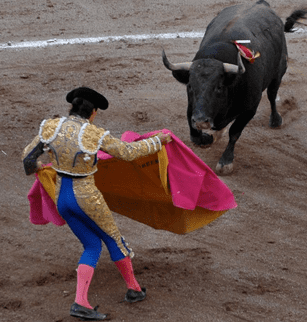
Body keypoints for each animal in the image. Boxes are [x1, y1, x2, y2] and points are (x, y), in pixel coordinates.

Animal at [162, 0, 306, 175]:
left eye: (218, 87)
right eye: (190, 86)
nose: (201, 121)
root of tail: (262, 4)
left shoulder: (250, 109)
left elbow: (235, 132)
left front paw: (226, 162)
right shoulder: (192, 108)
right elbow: (195, 136)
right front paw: (208, 138)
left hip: (279, 72)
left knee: (272, 95)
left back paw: (275, 120)